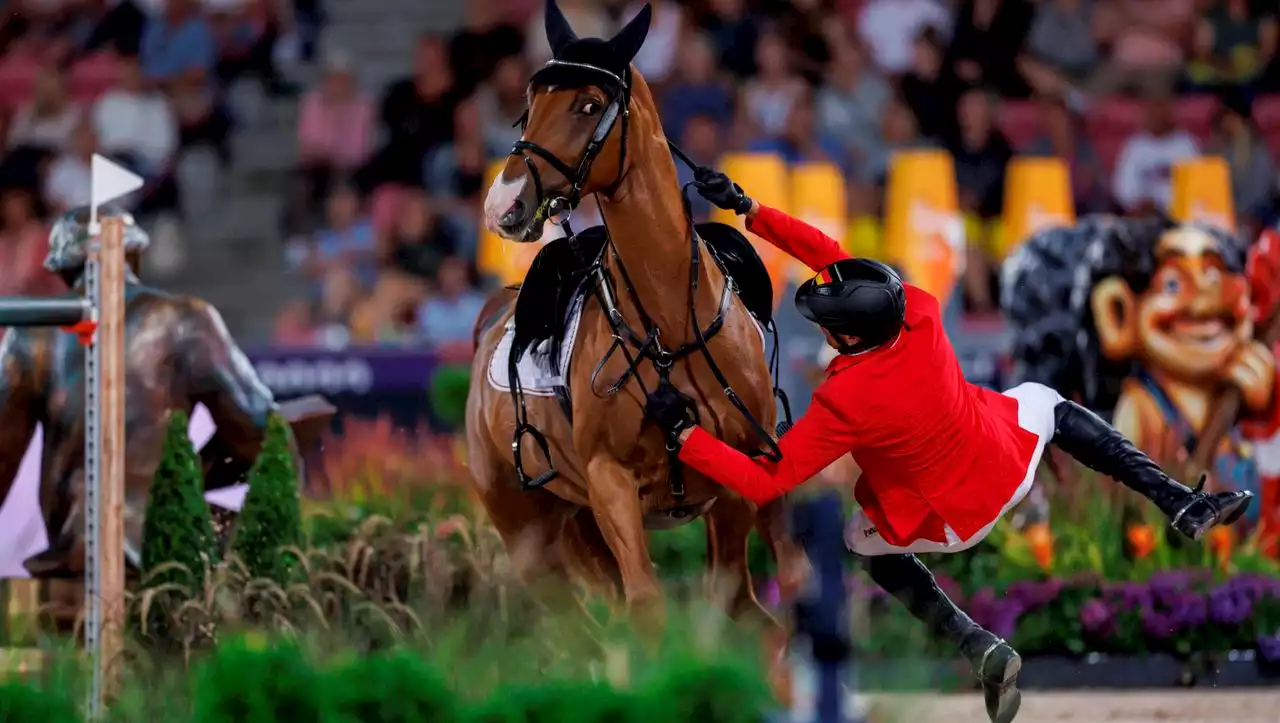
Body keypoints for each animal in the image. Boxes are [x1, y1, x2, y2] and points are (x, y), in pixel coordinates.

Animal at [465, 0, 803, 632]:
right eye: (530, 107)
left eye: (589, 105)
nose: (503, 206)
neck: (670, 323)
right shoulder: (610, 484)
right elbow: (650, 603)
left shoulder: (741, 478)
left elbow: (744, 604)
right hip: (535, 539)